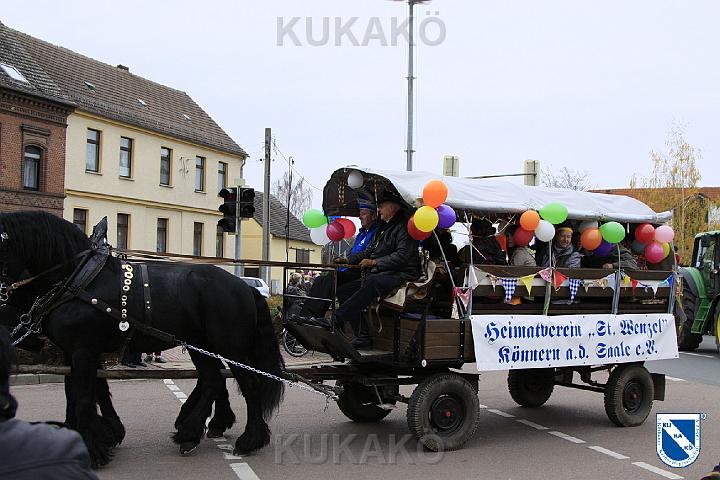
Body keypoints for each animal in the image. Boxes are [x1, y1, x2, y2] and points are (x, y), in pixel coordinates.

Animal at [0, 211, 284, 466]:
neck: (80, 279)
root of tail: (245, 286)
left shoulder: (83, 349)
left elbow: (83, 397)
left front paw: (94, 449)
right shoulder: (77, 350)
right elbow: (84, 391)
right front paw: (100, 433)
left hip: (231, 347)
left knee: (248, 385)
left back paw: (248, 440)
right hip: (201, 346)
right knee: (212, 381)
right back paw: (191, 433)